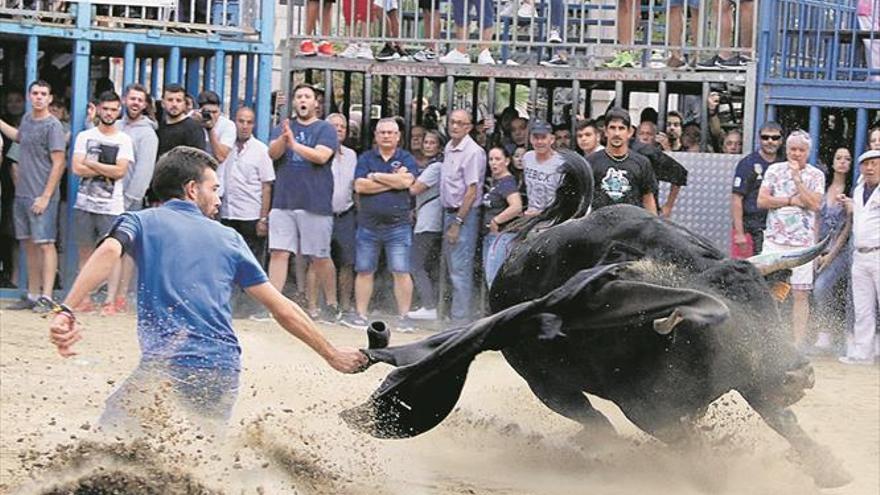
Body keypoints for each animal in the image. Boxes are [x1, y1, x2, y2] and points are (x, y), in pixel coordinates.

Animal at [342, 204, 852, 488]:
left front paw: (830, 468)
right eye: (723, 327)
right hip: (548, 386)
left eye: (769, 305)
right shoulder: (644, 408)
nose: (799, 373)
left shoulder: (752, 376)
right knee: (596, 424)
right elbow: (693, 446)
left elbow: (785, 421)